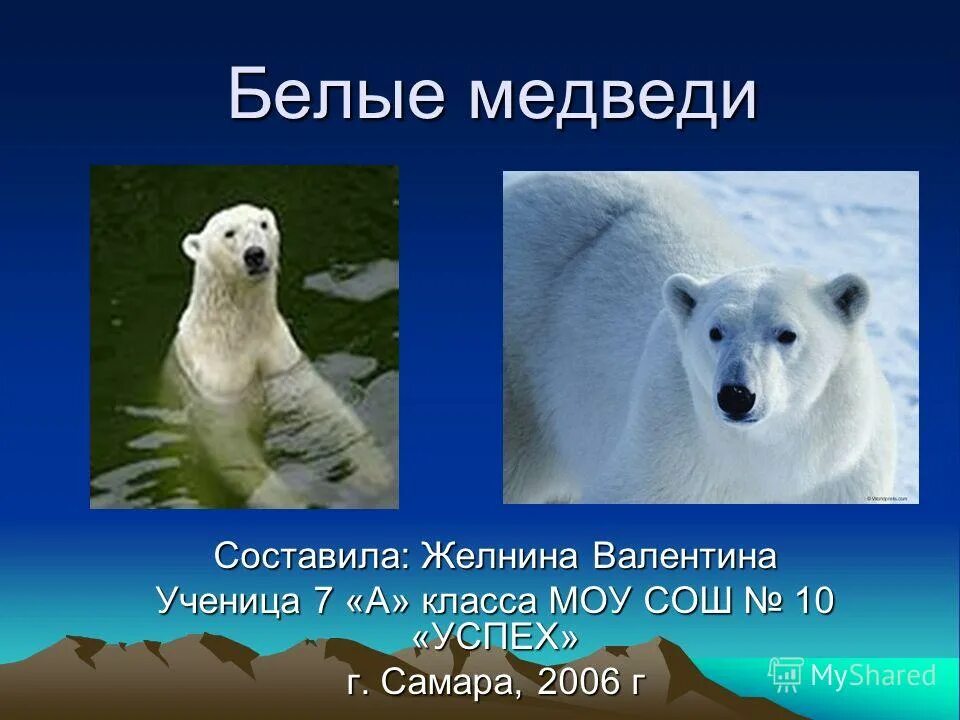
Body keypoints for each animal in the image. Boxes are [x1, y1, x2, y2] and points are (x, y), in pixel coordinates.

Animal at [168, 203, 395, 508]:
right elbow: (229, 444)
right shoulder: (214, 384)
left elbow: (322, 401)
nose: (255, 254)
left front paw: (376, 473)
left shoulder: (282, 356)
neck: (237, 333)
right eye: (229, 233)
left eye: (263, 224)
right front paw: (292, 500)